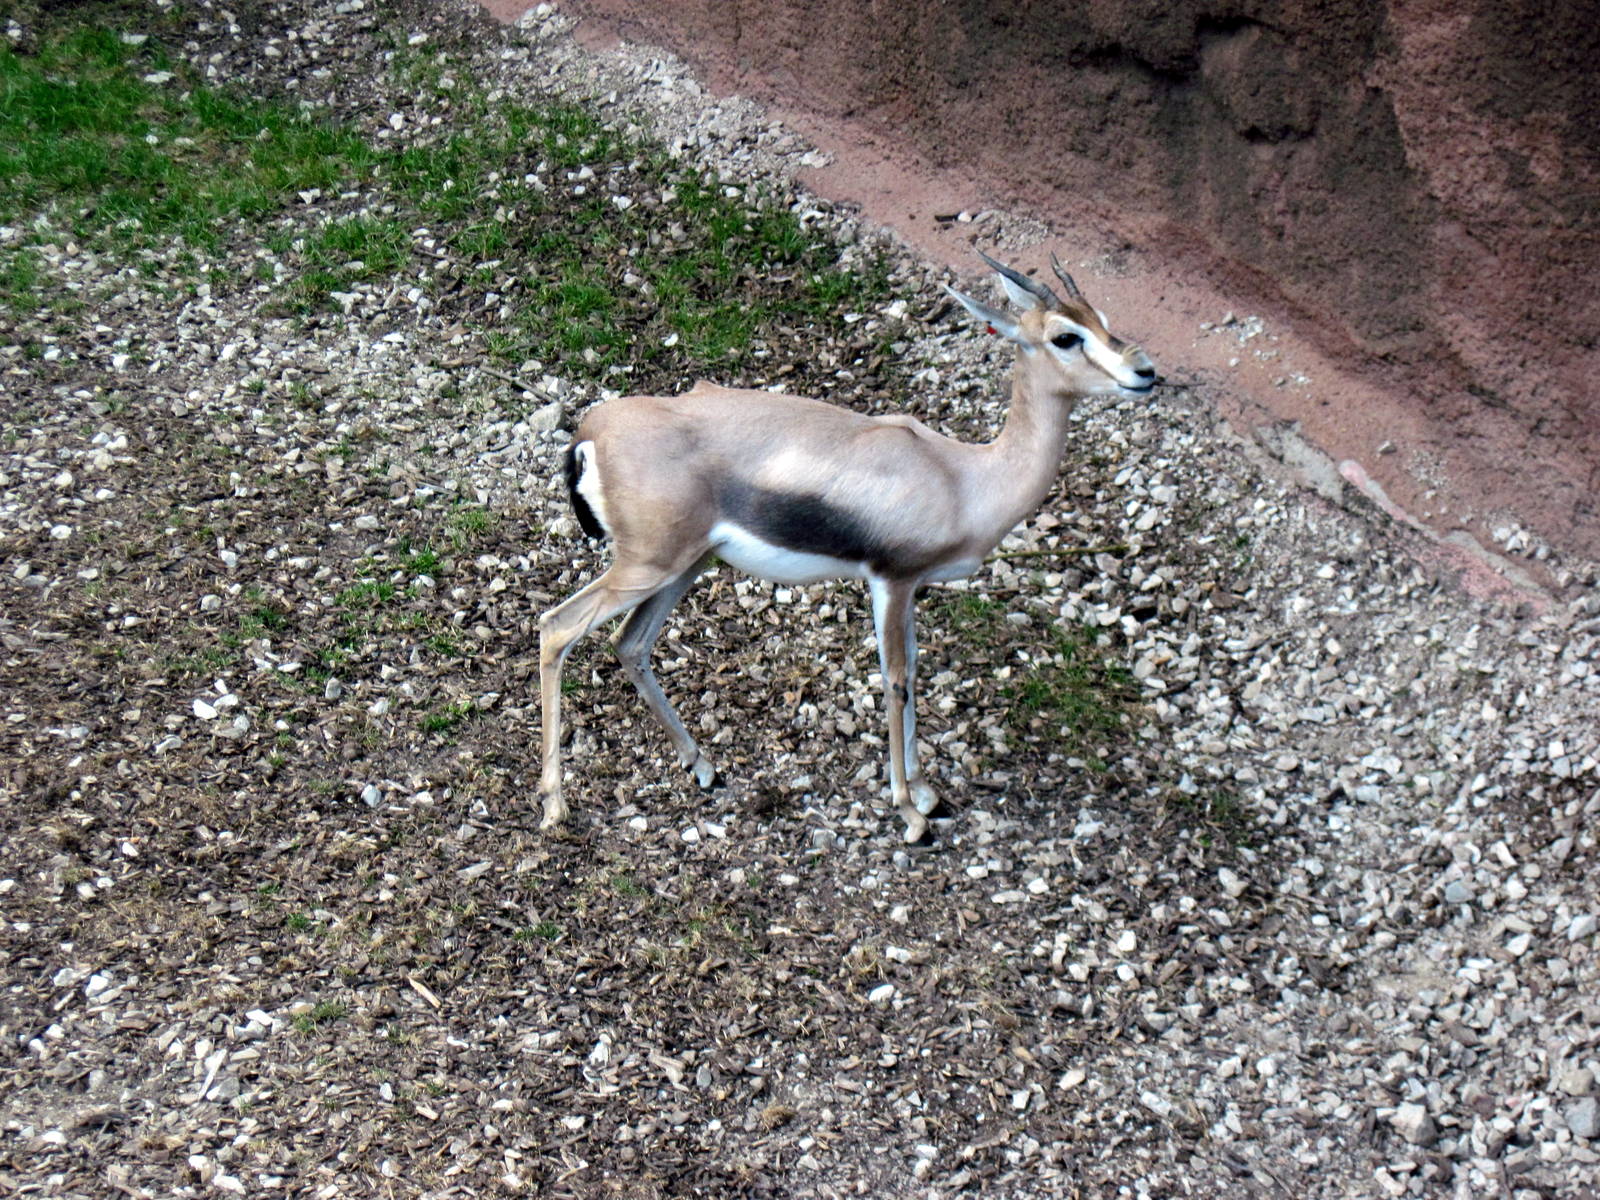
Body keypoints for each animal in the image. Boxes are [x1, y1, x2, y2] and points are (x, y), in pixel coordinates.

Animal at [536, 252, 1159, 842]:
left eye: (1104, 321)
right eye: (1064, 336)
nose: (1145, 371)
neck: (964, 478)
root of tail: (592, 430)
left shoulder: (914, 588)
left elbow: (915, 671)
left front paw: (926, 792)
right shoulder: (891, 580)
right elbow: (895, 681)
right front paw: (910, 814)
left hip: (687, 565)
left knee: (631, 644)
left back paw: (703, 766)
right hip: (647, 565)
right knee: (557, 627)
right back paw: (555, 805)